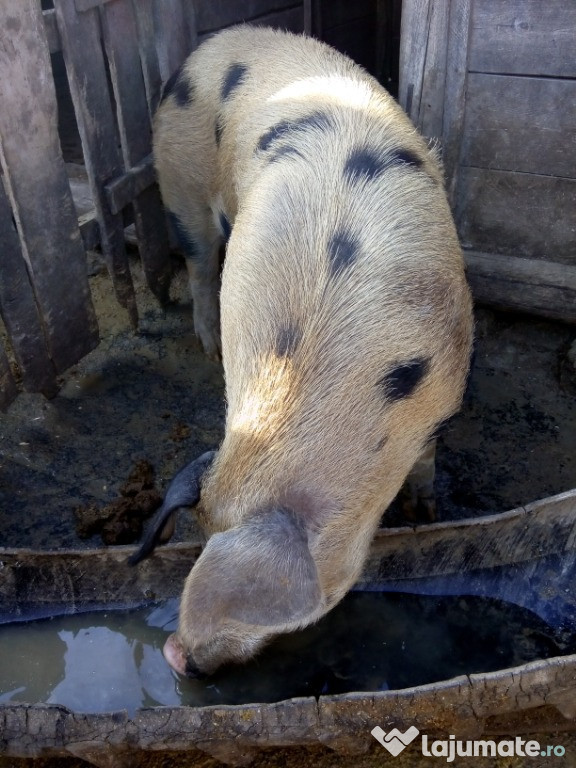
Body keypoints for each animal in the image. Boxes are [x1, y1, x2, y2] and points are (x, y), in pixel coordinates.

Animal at [130, 25, 472, 680]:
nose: (176, 657)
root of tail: (207, 46)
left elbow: (430, 458)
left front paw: (424, 509)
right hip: (178, 179)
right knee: (198, 261)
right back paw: (208, 349)